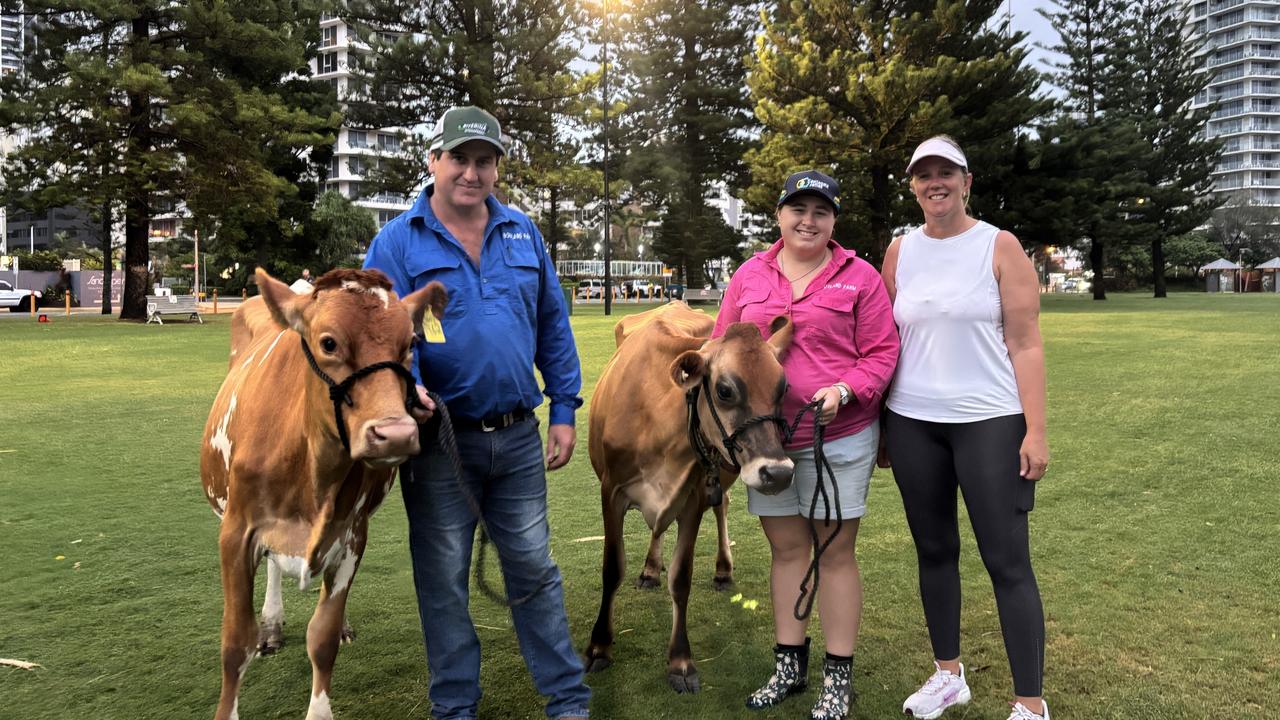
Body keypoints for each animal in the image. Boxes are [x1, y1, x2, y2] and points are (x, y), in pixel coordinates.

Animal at [197, 267, 442, 717]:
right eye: (329, 342)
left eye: (410, 345)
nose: (396, 434)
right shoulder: (236, 533)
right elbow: (235, 644)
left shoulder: (352, 535)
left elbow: (322, 638)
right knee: (273, 569)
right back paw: (271, 625)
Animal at [586, 301, 793, 691]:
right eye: (724, 390)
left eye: (783, 388)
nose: (779, 473)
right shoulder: (611, 491)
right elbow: (612, 568)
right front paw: (599, 646)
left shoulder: (695, 496)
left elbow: (681, 578)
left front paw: (680, 661)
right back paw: (650, 569)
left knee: (721, 506)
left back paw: (723, 570)